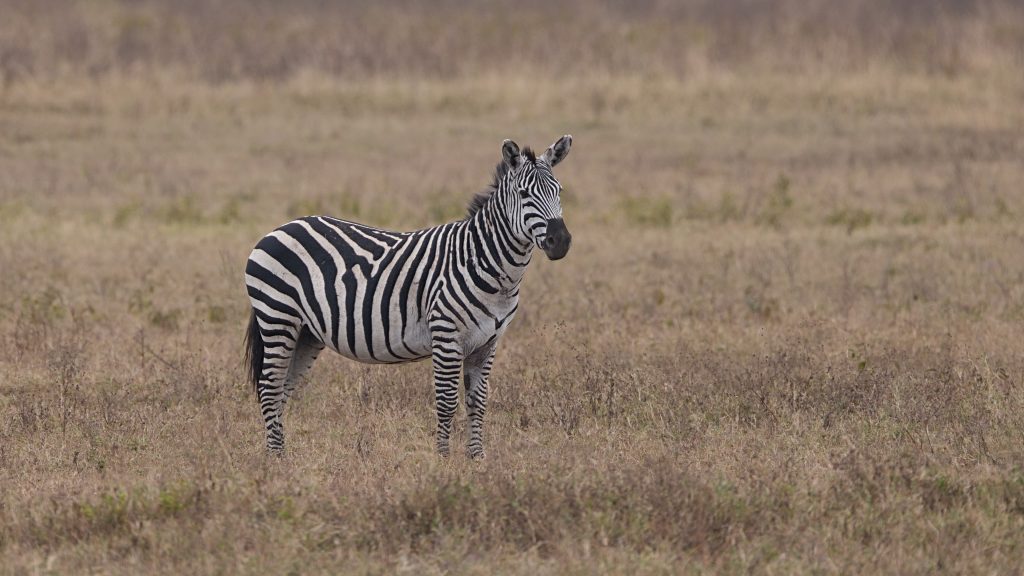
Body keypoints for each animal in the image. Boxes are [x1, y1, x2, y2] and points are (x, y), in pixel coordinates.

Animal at [244, 135, 574, 458]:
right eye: (524, 194)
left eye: (559, 191)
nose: (561, 242)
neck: (486, 263)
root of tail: (280, 228)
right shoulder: (446, 336)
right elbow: (447, 401)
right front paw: (443, 460)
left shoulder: (488, 343)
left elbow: (478, 403)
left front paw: (477, 459)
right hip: (278, 318)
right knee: (270, 387)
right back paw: (275, 461)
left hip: (306, 333)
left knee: (282, 389)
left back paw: (282, 457)